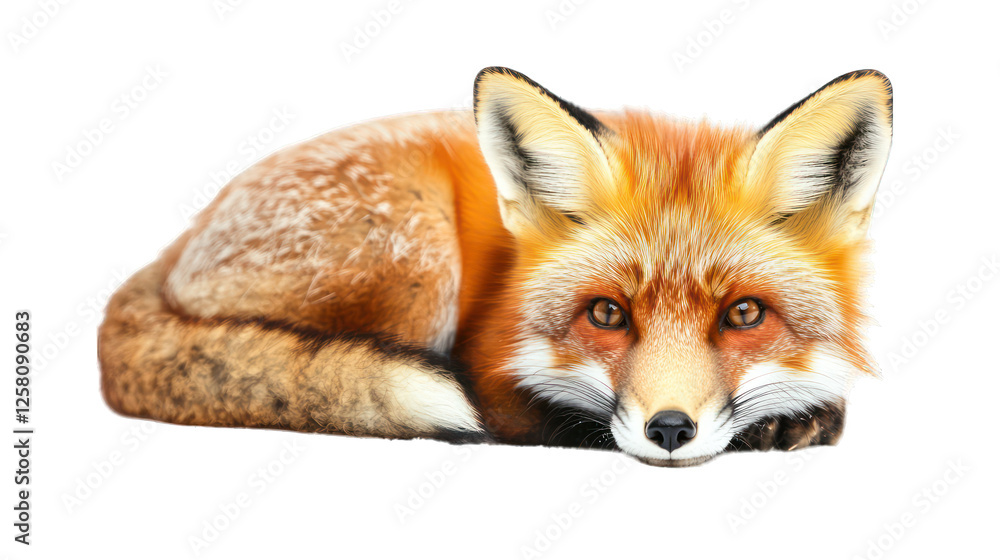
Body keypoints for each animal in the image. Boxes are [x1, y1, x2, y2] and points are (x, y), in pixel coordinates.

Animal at [98, 67, 892, 467]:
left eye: (743, 315)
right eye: (607, 314)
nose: (670, 430)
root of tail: (178, 240)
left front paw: (795, 419)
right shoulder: (488, 367)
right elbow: (538, 416)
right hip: (418, 259)